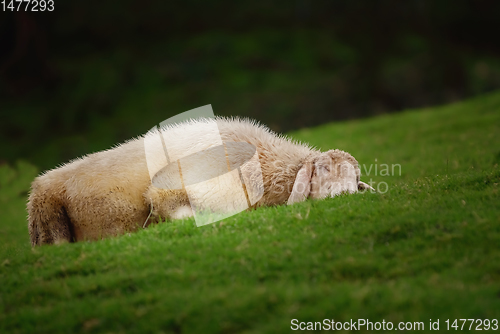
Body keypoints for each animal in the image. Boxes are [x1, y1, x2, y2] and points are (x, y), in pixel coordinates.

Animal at [26, 117, 372, 245]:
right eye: (323, 168)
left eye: (356, 177)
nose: (346, 194)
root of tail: (41, 182)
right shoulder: (175, 186)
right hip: (49, 224)